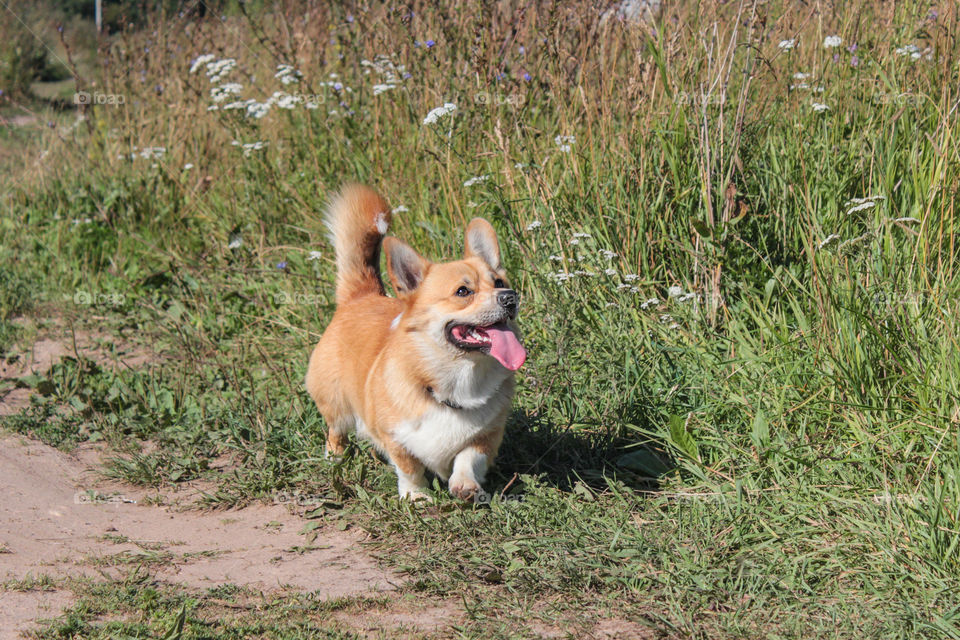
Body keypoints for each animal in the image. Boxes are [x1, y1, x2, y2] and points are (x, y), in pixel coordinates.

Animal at [306, 184, 524, 500]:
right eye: (463, 291)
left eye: (499, 283)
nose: (510, 298)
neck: (457, 378)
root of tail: (360, 296)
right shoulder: (394, 436)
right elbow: (409, 467)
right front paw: (417, 497)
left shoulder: (488, 436)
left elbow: (469, 456)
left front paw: (464, 484)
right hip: (336, 403)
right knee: (336, 430)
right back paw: (335, 457)